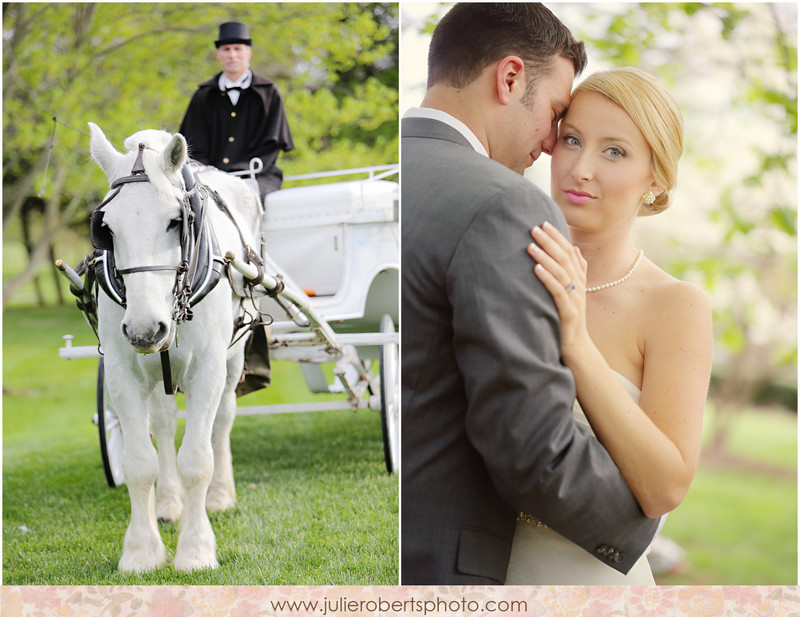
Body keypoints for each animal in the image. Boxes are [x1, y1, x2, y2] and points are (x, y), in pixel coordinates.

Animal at [88, 122, 262, 572]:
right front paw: (141, 551)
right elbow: (138, 462)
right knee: (164, 425)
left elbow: (197, 461)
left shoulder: (207, 368)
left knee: (223, 420)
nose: (146, 329)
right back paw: (168, 504)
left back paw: (220, 495)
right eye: (106, 228)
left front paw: (196, 550)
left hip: (233, 358)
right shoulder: (122, 369)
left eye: (173, 221)